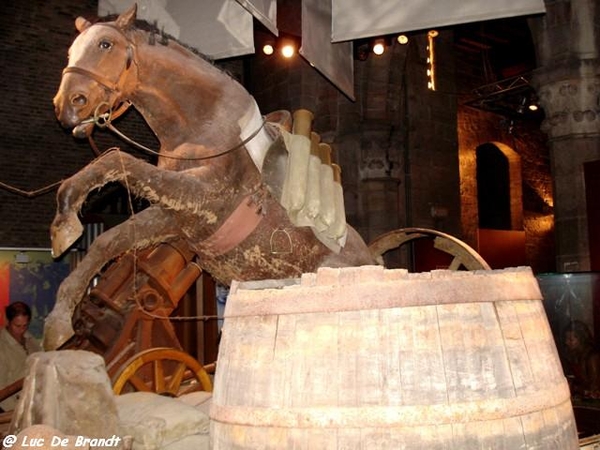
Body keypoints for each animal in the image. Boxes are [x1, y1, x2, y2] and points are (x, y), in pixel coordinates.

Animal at [48, 6, 376, 348]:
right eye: (71, 50)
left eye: (105, 44)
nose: (66, 104)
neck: (202, 124)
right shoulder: (174, 216)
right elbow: (108, 241)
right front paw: (58, 317)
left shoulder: (202, 193)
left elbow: (117, 159)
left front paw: (64, 222)